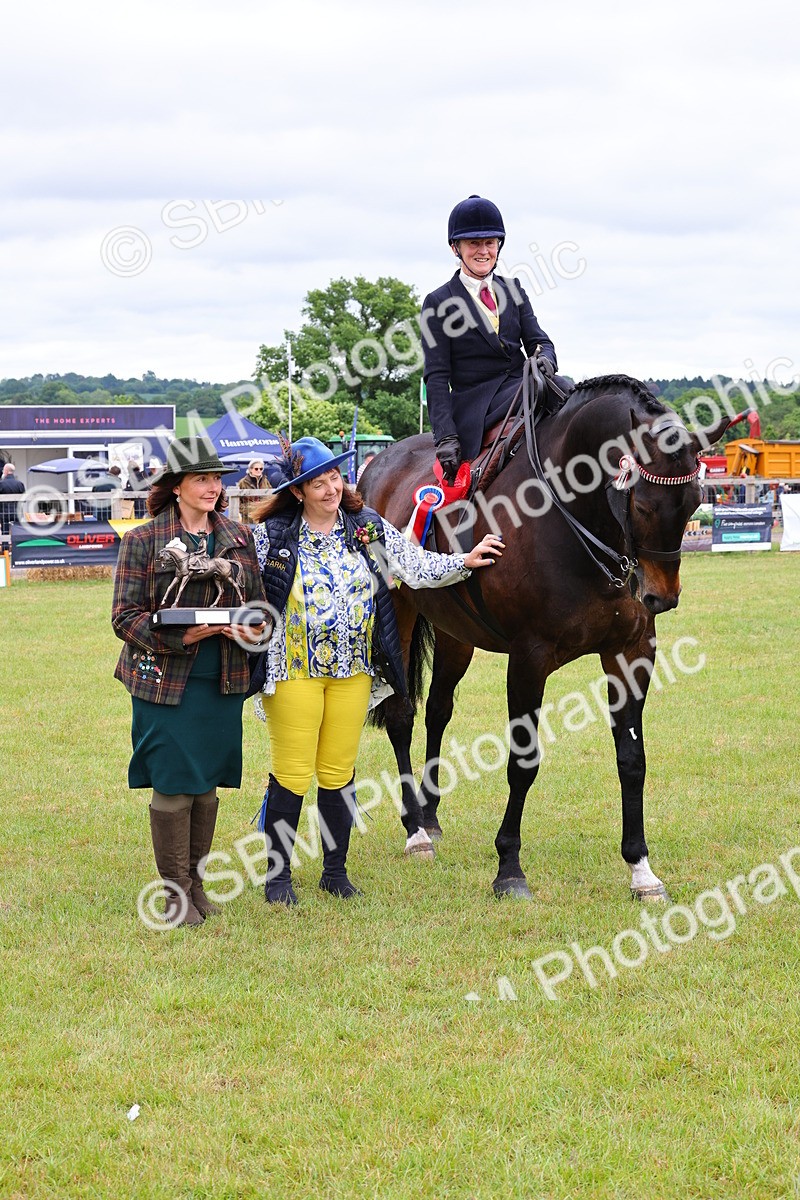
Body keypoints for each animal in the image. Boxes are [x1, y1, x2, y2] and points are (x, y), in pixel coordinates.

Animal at [360, 371, 729, 900]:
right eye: (639, 503)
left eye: (696, 501)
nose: (661, 596)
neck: (576, 516)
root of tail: (375, 467)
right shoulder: (529, 659)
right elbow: (523, 761)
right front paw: (509, 867)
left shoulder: (631, 652)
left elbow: (632, 758)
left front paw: (641, 869)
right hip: (400, 616)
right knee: (401, 715)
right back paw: (414, 831)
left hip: (456, 637)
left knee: (437, 712)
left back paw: (429, 817)